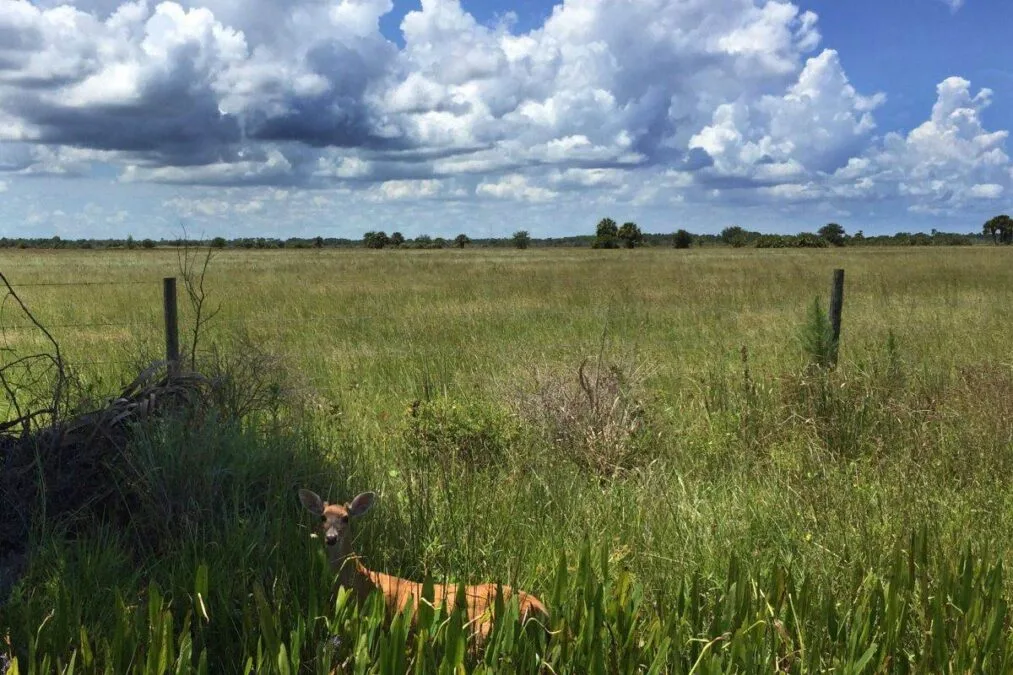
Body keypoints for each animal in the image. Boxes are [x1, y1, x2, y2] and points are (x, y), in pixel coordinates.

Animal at [298, 488, 548, 641]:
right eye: (323, 517)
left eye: (346, 518)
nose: (331, 538)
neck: (360, 581)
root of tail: (541, 607)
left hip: (485, 631)